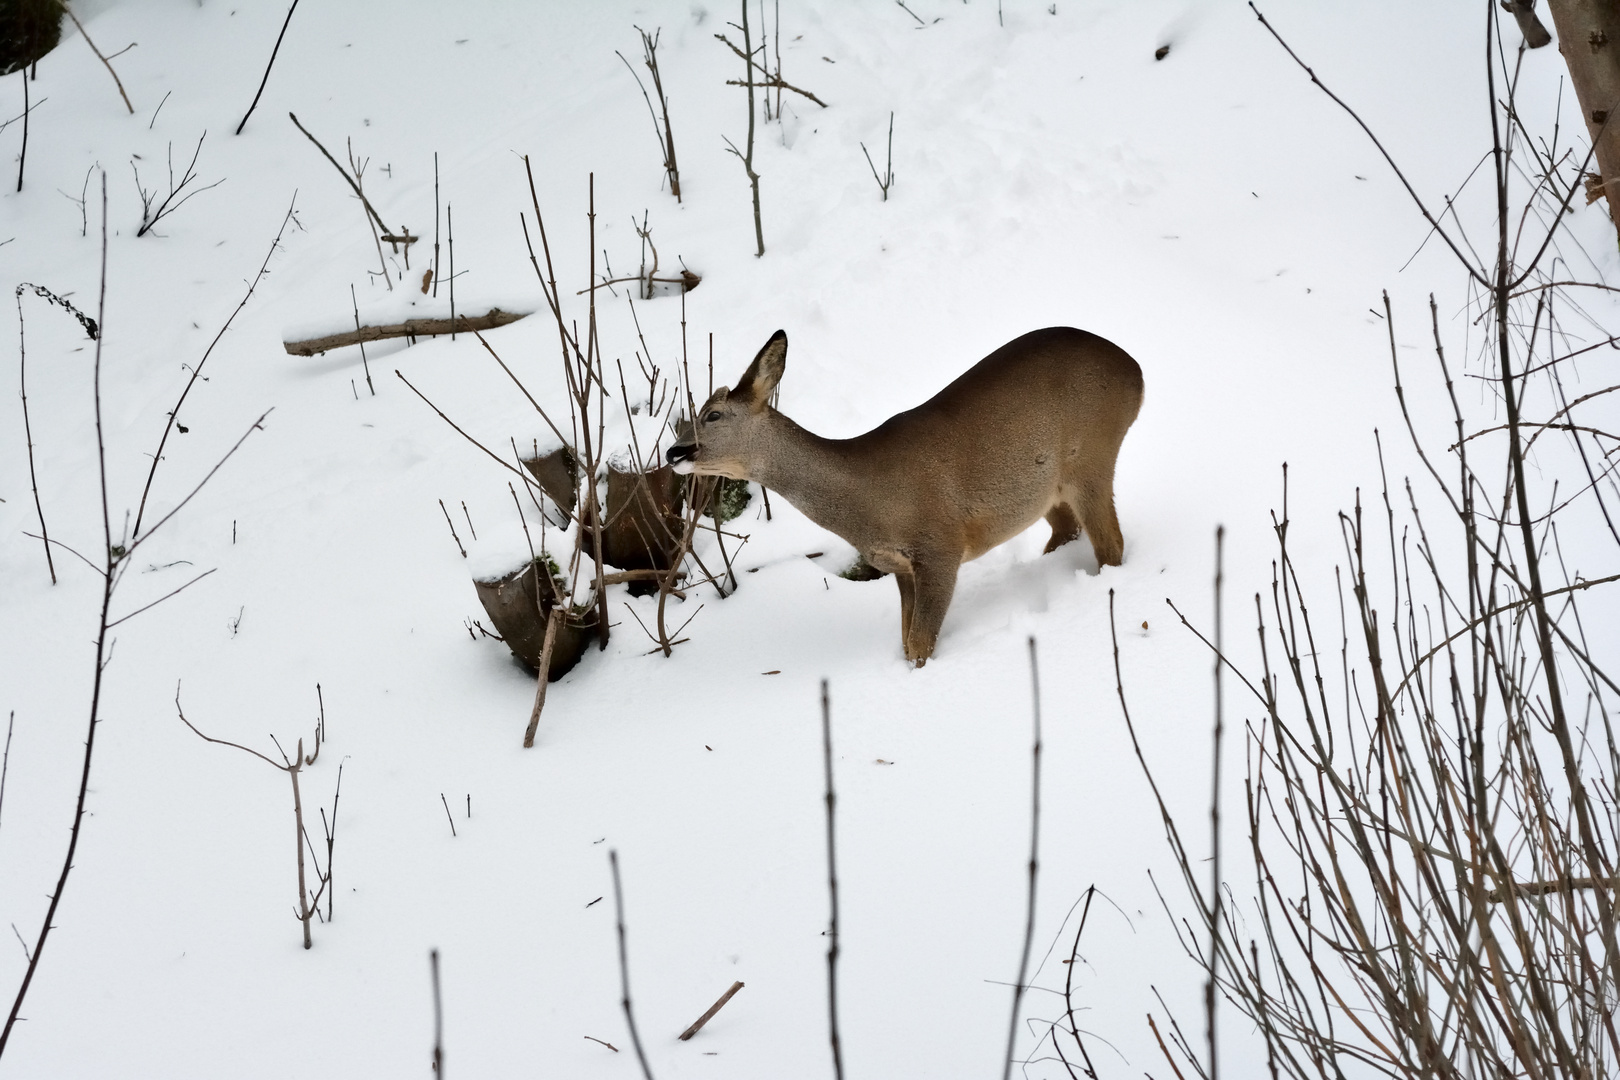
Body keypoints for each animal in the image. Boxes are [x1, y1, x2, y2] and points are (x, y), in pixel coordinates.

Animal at [664, 327, 1146, 667]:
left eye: (713, 415)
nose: (672, 453)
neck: (872, 499)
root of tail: (1137, 372)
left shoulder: (941, 548)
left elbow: (919, 645)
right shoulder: (898, 566)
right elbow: (905, 640)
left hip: (1092, 455)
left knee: (1111, 545)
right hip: (1047, 489)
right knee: (1067, 532)